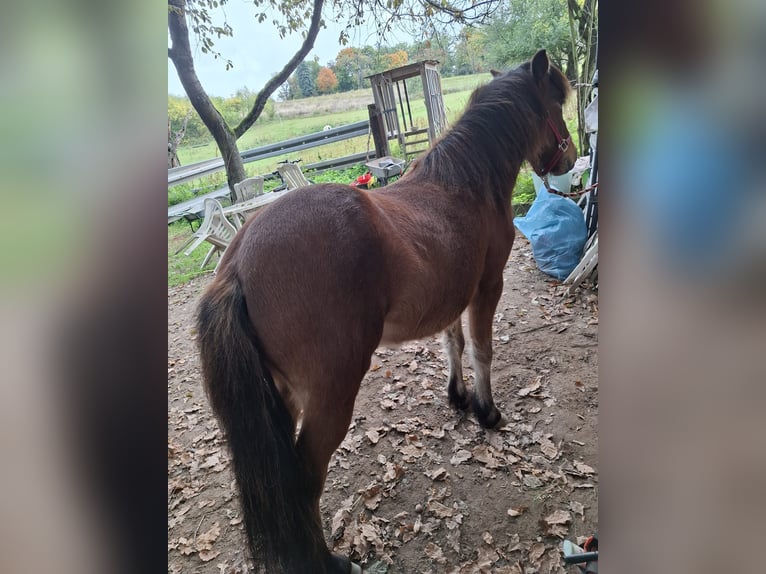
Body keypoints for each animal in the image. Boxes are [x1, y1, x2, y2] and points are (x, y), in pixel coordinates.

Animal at [196, 49, 576, 573]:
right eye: (556, 105)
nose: (571, 158)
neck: (463, 184)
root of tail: (237, 262)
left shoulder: (453, 295)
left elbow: (453, 342)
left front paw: (459, 397)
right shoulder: (487, 287)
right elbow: (482, 349)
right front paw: (487, 412)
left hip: (283, 396)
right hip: (330, 396)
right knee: (304, 479)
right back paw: (331, 562)